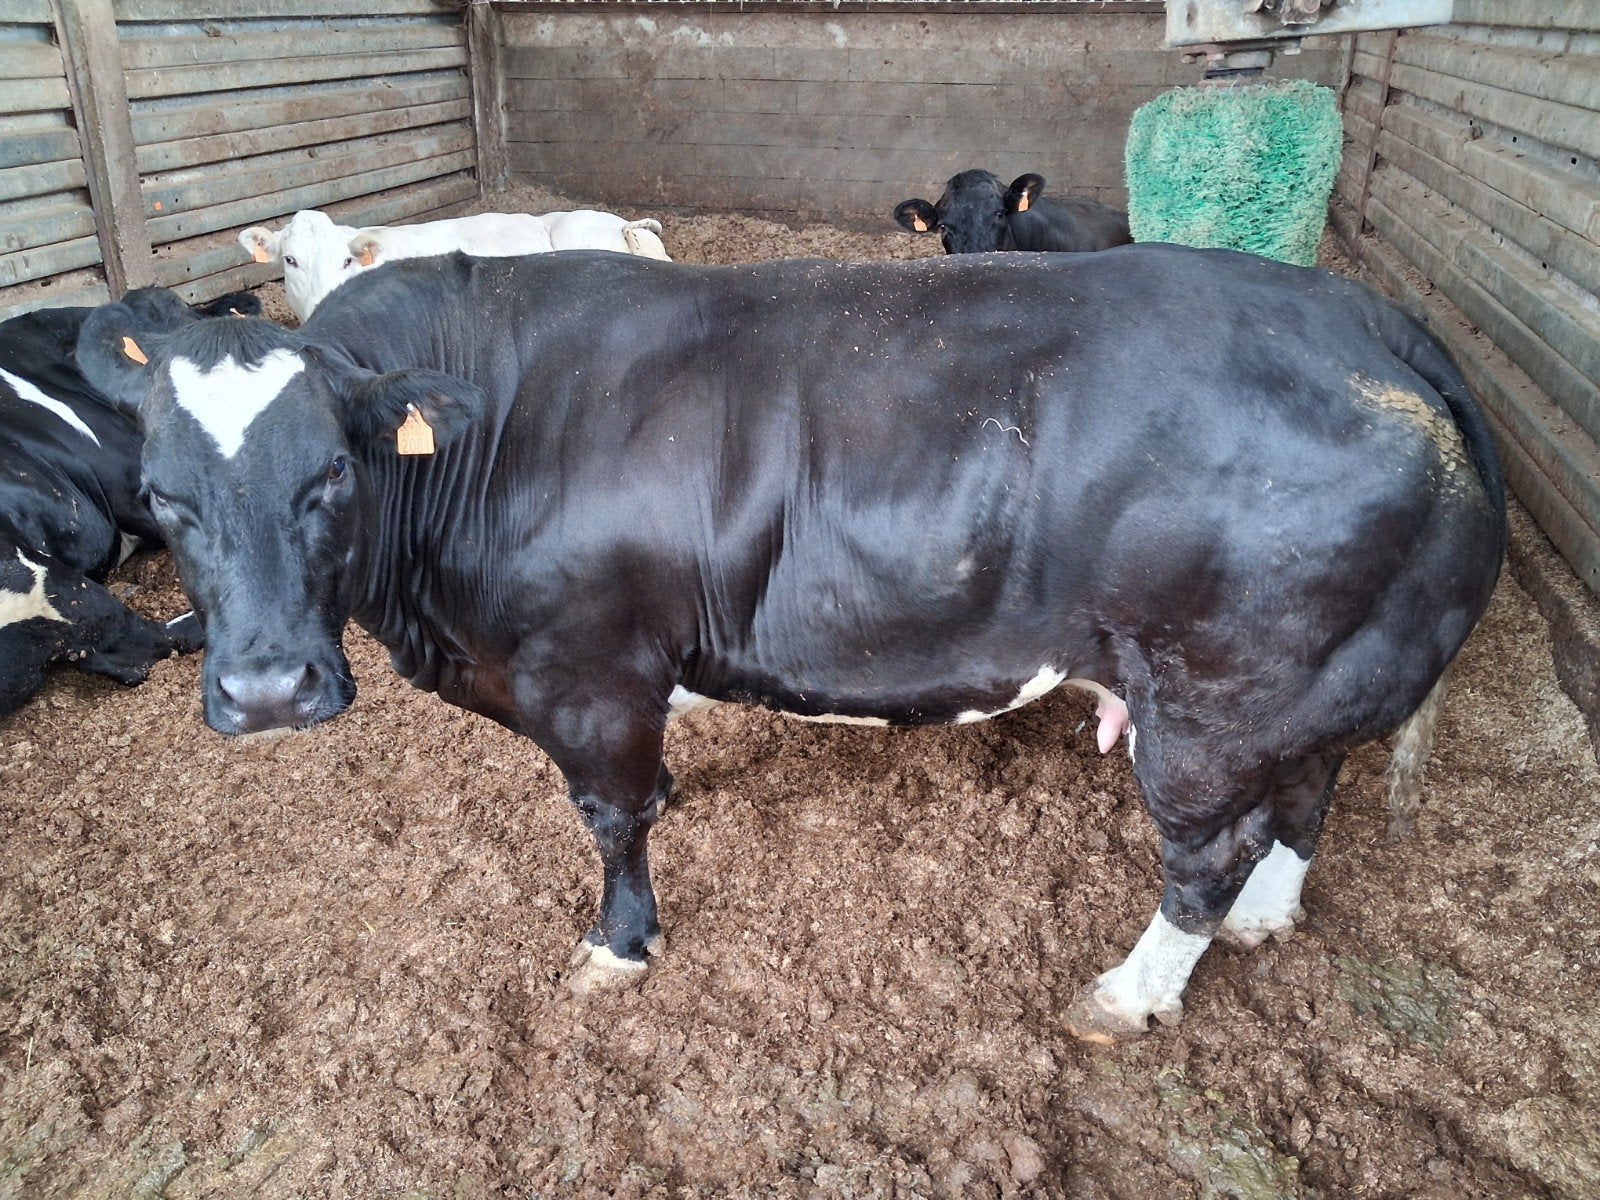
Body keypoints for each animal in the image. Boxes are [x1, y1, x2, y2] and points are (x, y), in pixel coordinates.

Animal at [79, 244, 1504, 1041]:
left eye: (330, 472)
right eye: (157, 493)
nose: (267, 688)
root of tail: (1361, 318)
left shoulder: (583, 669)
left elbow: (609, 818)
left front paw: (618, 946)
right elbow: (647, 788)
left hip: (1217, 696)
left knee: (1209, 853)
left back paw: (1129, 994)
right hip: (1303, 679)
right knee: (1307, 795)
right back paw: (1267, 920)